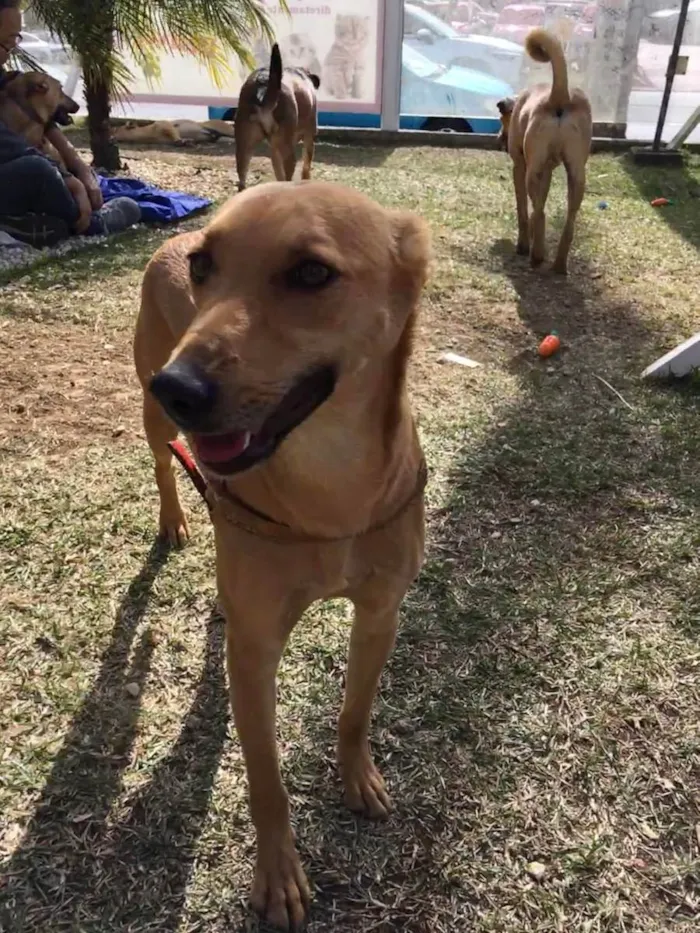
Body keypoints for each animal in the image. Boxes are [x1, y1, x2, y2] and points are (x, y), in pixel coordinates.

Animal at [133, 178, 430, 928]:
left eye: (312, 273)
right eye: (205, 267)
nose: (179, 387)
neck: (329, 489)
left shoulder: (380, 614)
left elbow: (354, 711)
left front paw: (359, 777)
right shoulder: (258, 649)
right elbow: (265, 777)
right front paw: (277, 875)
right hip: (148, 410)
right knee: (163, 462)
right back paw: (176, 518)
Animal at [235, 42, 322, 190]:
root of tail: (263, 86)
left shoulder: (274, 148)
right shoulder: (309, 135)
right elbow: (306, 166)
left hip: (243, 145)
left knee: (242, 180)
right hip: (286, 149)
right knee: (289, 173)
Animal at [498, 28, 592, 274]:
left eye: (502, 120)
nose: (498, 138)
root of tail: (558, 95)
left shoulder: (520, 167)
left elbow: (522, 209)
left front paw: (523, 244)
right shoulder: (548, 170)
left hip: (532, 172)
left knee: (539, 213)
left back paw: (537, 255)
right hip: (577, 174)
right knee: (568, 221)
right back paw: (559, 264)